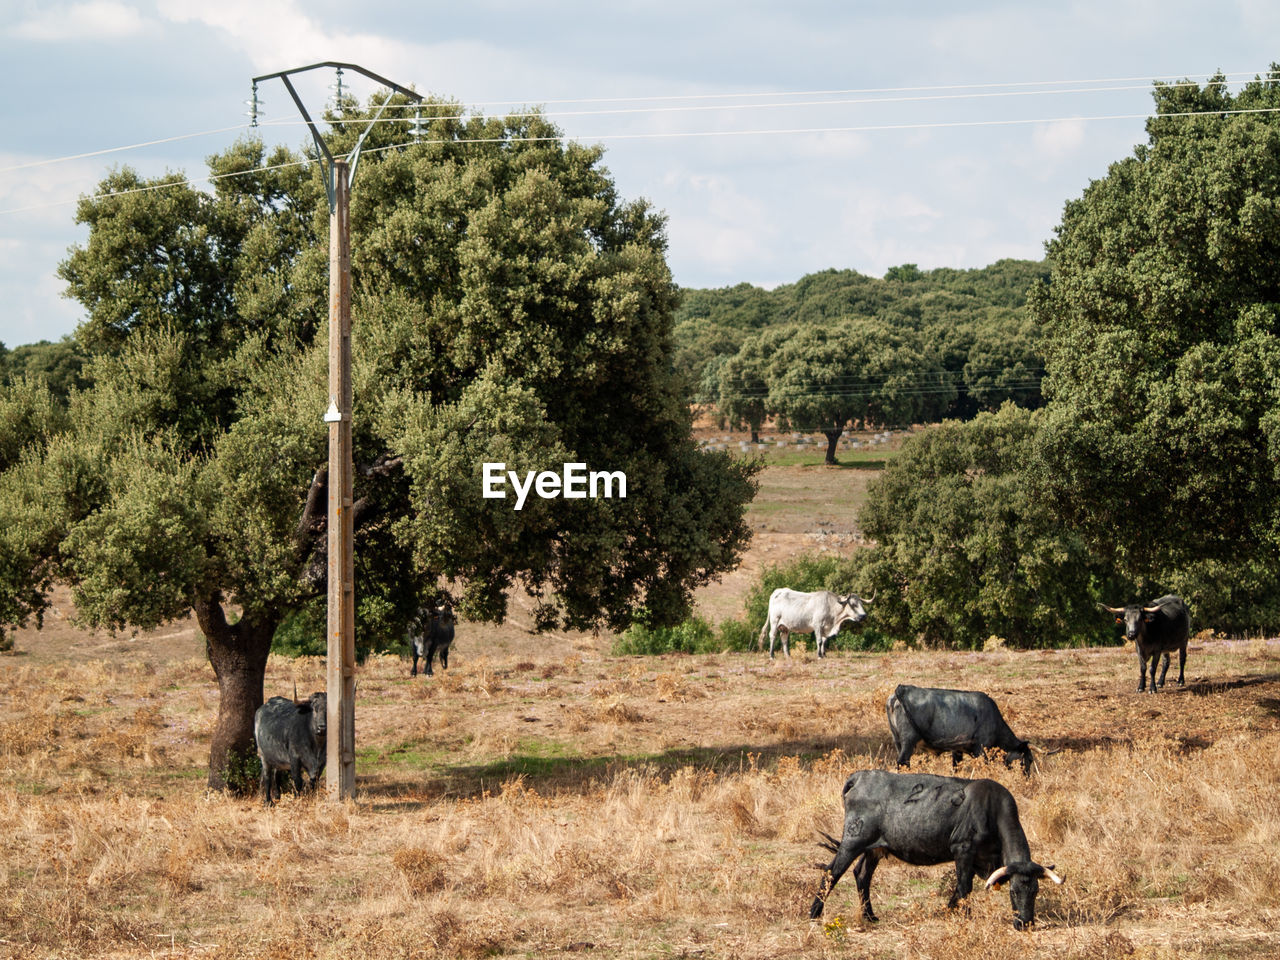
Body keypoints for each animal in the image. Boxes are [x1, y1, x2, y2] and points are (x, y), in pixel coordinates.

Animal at [808, 773, 1059, 926]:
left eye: (1035, 891)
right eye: (1013, 892)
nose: (1025, 923)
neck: (990, 809)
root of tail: (860, 776)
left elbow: (959, 889)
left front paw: (949, 910)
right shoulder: (962, 849)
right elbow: (964, 886)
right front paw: (965, 916)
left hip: (875, 848)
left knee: (861, 875)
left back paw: (870, 916)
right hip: (853, 840)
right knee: (832, 872)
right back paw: (814, 913)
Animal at [885, 686, 1034, 773]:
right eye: (1029, 759)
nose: (1027, 777)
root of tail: (901, 690)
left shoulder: (957, 750)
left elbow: (956, 767)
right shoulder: (981, 748)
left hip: (897, 740)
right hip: (909, 741)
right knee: (902, 762)